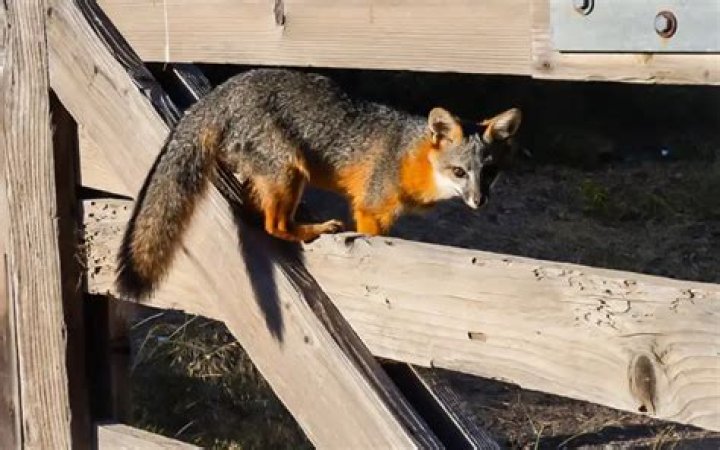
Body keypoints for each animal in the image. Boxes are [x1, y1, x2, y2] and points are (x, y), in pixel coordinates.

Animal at [116, 68, 522, 299]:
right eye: (459, 172)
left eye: (490, 172)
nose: (479, 201)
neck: (412, 156)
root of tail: (220, 93)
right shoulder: (372, 209)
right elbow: (372, 237)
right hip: (290, 171)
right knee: (274, 225)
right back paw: (311, 228)